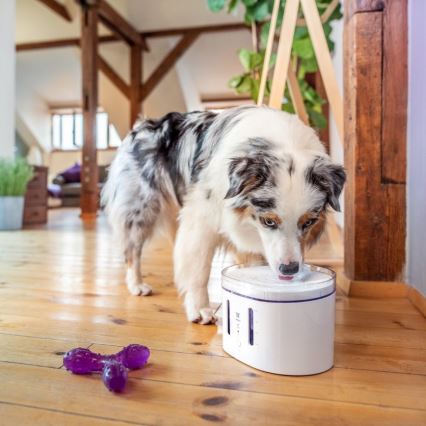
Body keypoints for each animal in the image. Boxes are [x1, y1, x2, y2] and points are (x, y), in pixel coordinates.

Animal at [103, 105, 346, 322]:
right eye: (269, 221)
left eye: (309, 222)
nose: (290, 268)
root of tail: (142, 126)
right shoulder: (202, 220)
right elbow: (199, 268)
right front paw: (200, 308)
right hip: (141, 208)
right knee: (132, 250)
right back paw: (136, 284)